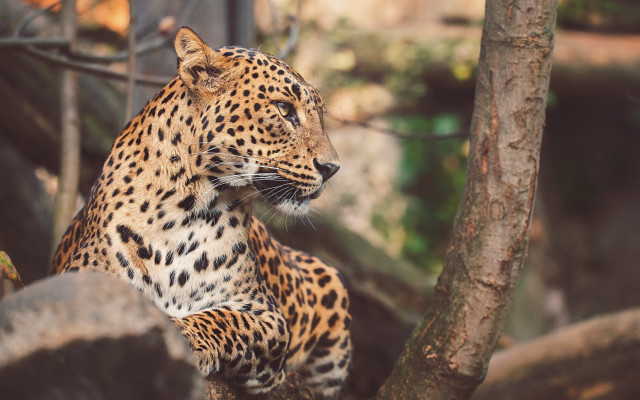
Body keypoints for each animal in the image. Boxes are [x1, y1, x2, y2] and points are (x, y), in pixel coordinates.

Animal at [51, 27, 351, 399]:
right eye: (284, 109)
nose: (332, 168)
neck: (183, 210)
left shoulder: (269, 317)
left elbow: (225, 318)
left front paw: (183, 337)